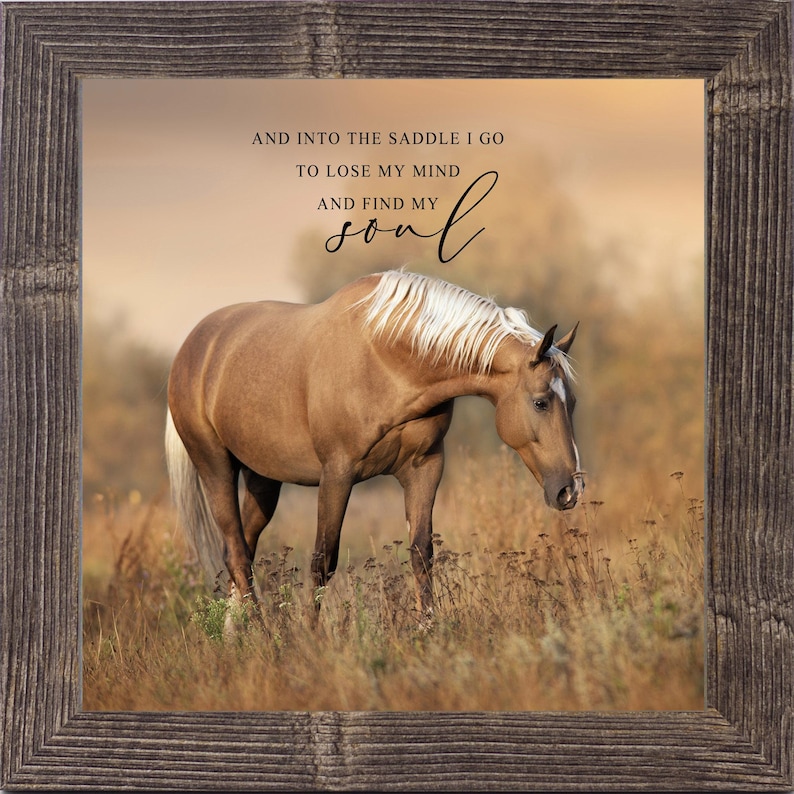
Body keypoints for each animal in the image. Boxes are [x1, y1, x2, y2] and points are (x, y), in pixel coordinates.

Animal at [165, 270, 583, 626]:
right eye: (541, 402)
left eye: (573, 402)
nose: (571, 490)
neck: (386, 359)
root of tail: (192, 348)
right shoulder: (337, 474)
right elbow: (323, 560)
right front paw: (310, 638)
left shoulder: (425, 467)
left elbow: (421, 553)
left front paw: (428, 629)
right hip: (215, 467)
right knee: (236, 553)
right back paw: (264, 635)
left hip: (263, 479)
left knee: (243, 552)